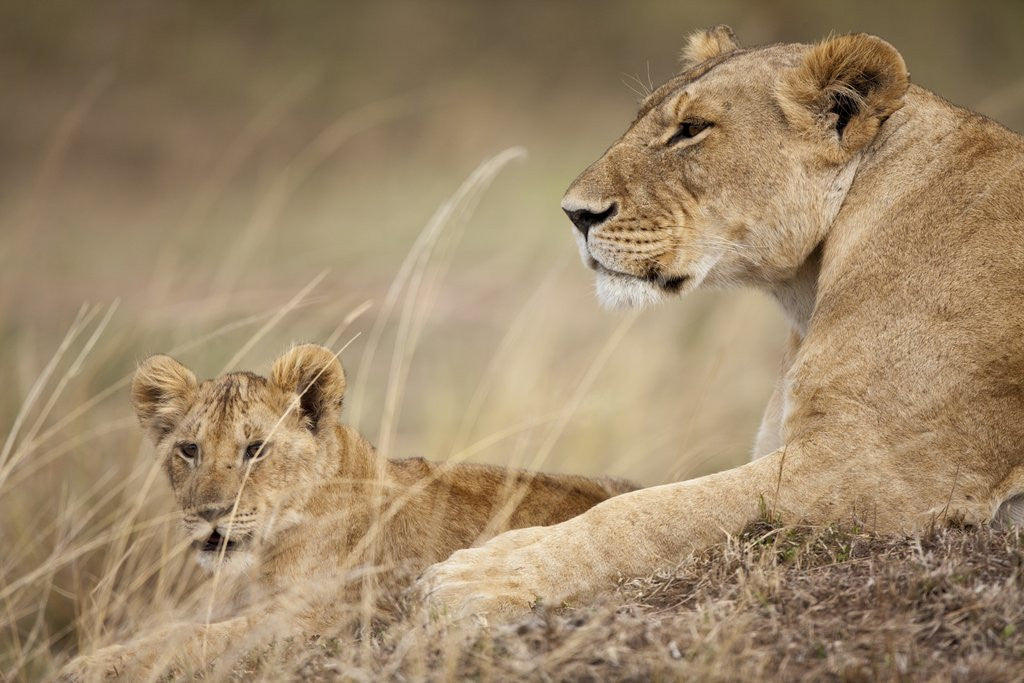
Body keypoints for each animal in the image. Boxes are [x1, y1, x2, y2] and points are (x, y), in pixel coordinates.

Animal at [62, 344, 634, 678]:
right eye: (188, 450)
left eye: (255, 450)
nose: (210, 512)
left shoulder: (320, 620)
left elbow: (192, 638)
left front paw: (87, 665)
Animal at [421, 26, 1024, 617]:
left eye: (691, 130)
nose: (576, 214)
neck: (807, 289)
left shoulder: (883, 471)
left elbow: (651, 513)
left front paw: (486, 575)